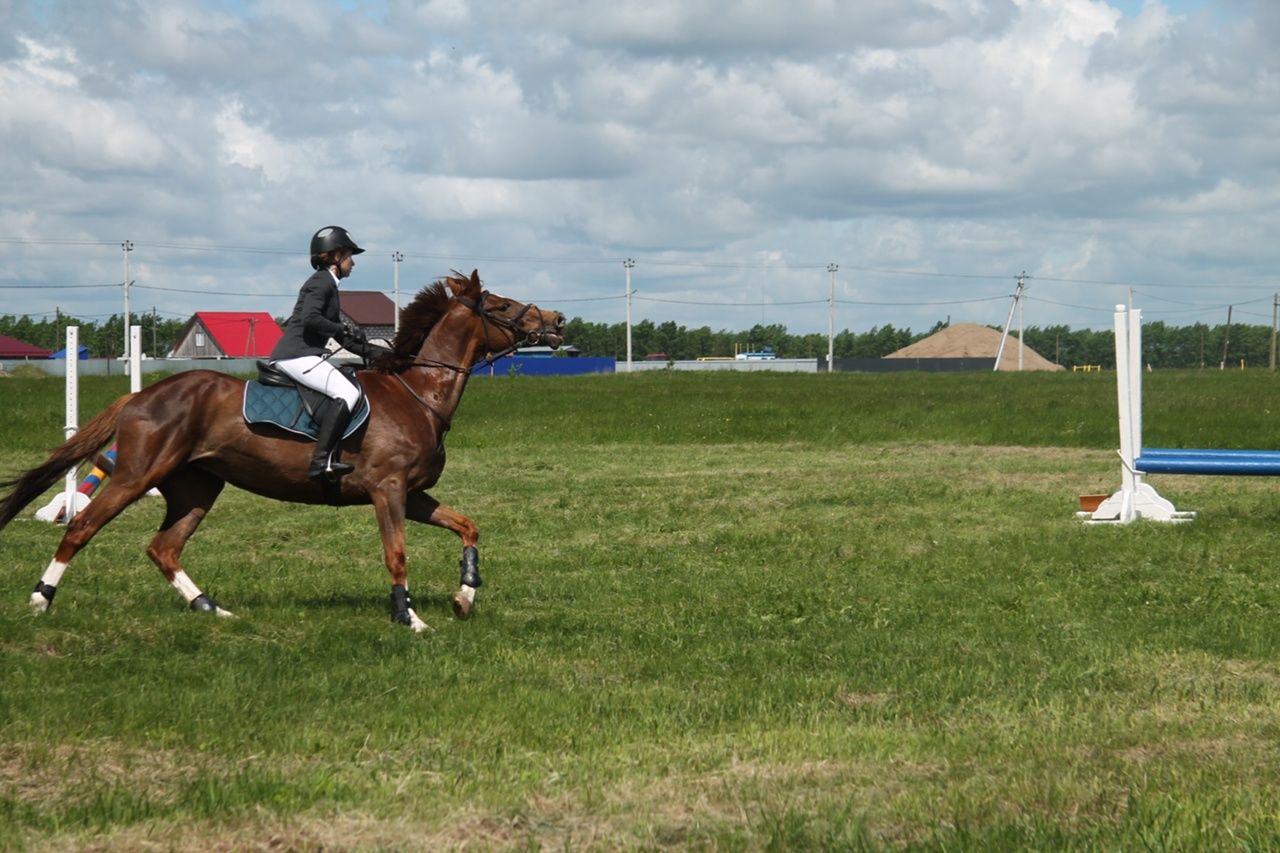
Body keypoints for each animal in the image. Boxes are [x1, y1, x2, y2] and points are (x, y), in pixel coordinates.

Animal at [0, 268, 565, 627]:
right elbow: (397, 554)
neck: (418, 393)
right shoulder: (387, 491)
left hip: (196, 486)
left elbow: (468, 527)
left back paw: (211, 609)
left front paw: (465, 595)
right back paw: (40, 600)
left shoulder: (413, 494)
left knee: (164, 548)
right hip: (138, 474)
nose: (557, 321)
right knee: (81, 526)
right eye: (502, 306)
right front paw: (410, 619)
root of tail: (141, 395)